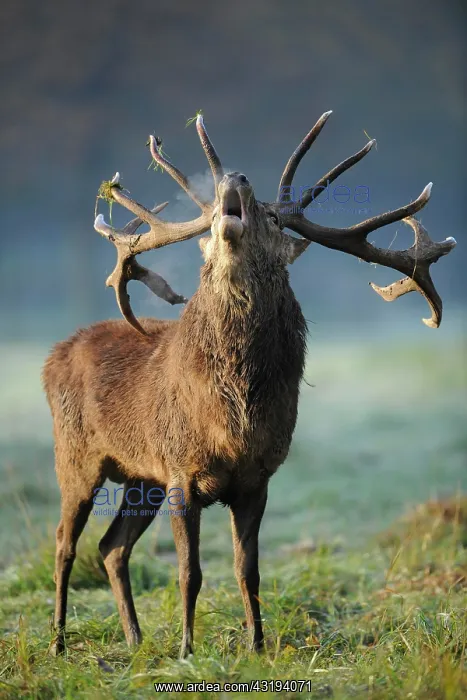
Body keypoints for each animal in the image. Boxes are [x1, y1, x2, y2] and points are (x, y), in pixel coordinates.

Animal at [42, 112, 456, 658]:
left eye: (275, 219)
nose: (235, 180)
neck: (234, 416)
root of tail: (53, 357)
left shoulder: (257, 477)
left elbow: (249, 571)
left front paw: (256, 645)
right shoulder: (181, 471)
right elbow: (190, 573)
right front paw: (186, 651)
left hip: (140, 478)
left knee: (111, 547)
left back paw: (134, 640)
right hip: (76, 454)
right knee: (65, 544)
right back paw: (58, 643)